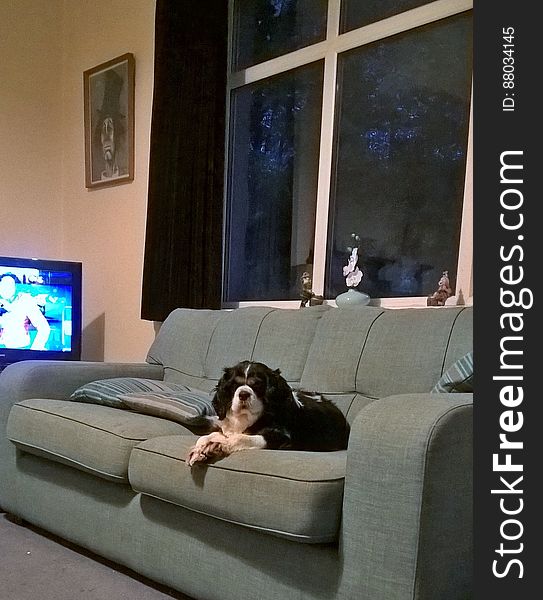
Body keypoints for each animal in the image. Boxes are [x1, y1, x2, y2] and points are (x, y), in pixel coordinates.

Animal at [186, 358, 348, 466]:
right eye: (235, 385)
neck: (246, 418)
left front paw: (219, 445)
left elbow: (241, 438)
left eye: (257, 384)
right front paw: (201, 448)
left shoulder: (282, 437)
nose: (243, 394)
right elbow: (211, 435)